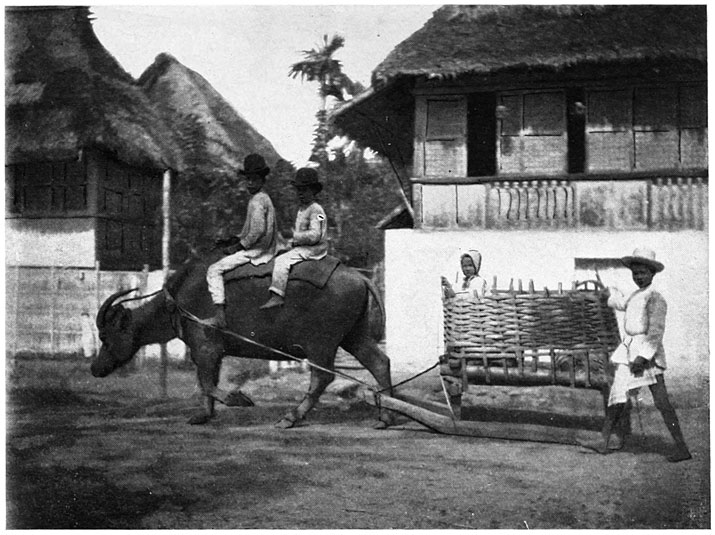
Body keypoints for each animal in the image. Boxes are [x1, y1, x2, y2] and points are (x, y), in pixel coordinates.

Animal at [90, 253, 394, 430]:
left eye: (105, 336)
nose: (95, 368)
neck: (176, 304)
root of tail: (359, 277)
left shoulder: (205, 348)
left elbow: (207, 383)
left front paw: (239, 399)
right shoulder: (211, 353)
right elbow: (207, 384)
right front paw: (204, 415)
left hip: (321, 343)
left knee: (322, 377)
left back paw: (291, 417)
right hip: (353, 336)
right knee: (380, 362)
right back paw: (386, 416)